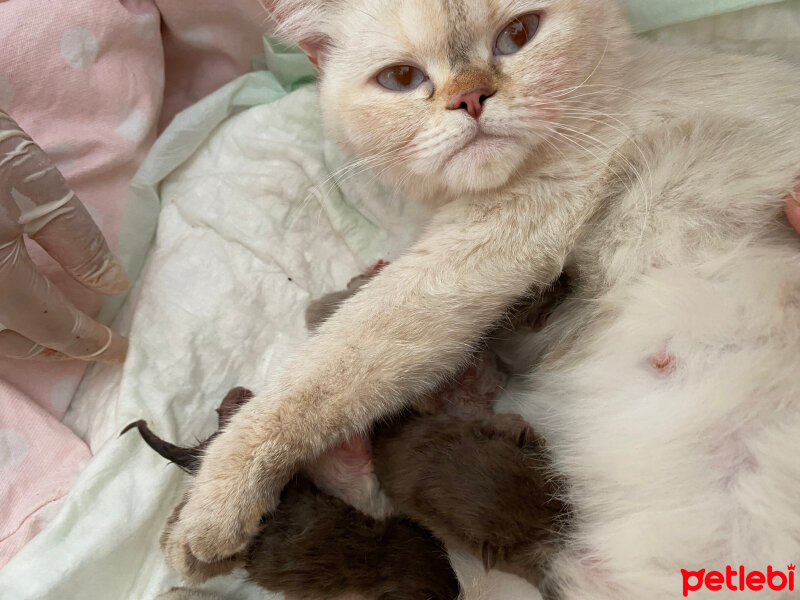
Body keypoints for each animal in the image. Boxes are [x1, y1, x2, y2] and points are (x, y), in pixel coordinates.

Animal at [161, 2, 800, 596]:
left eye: (518, 35)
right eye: (401, 78)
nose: (470, 98)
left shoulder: (478, 255)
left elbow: (319, 371)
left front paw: (208, 513)